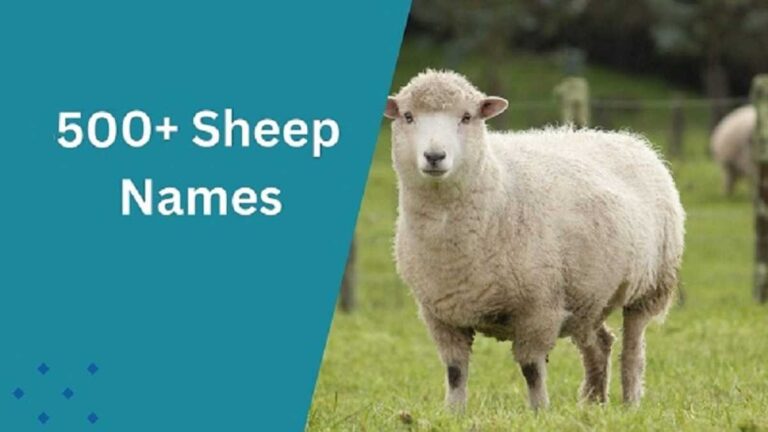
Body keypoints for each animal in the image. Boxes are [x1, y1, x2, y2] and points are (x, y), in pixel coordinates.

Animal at [383, 69, 685, 411]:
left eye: (467, 117)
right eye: (408, 116)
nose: (435, 156)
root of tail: (629, 139)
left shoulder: (539, 308)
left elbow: (531, 370)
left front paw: (539, 411)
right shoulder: (441, 315)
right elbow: (455, 372)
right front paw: (453, 413)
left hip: (649, 286)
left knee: (633, 350)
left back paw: (630, 403)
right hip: (586, 294)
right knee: (600, 343)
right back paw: (594, 402)